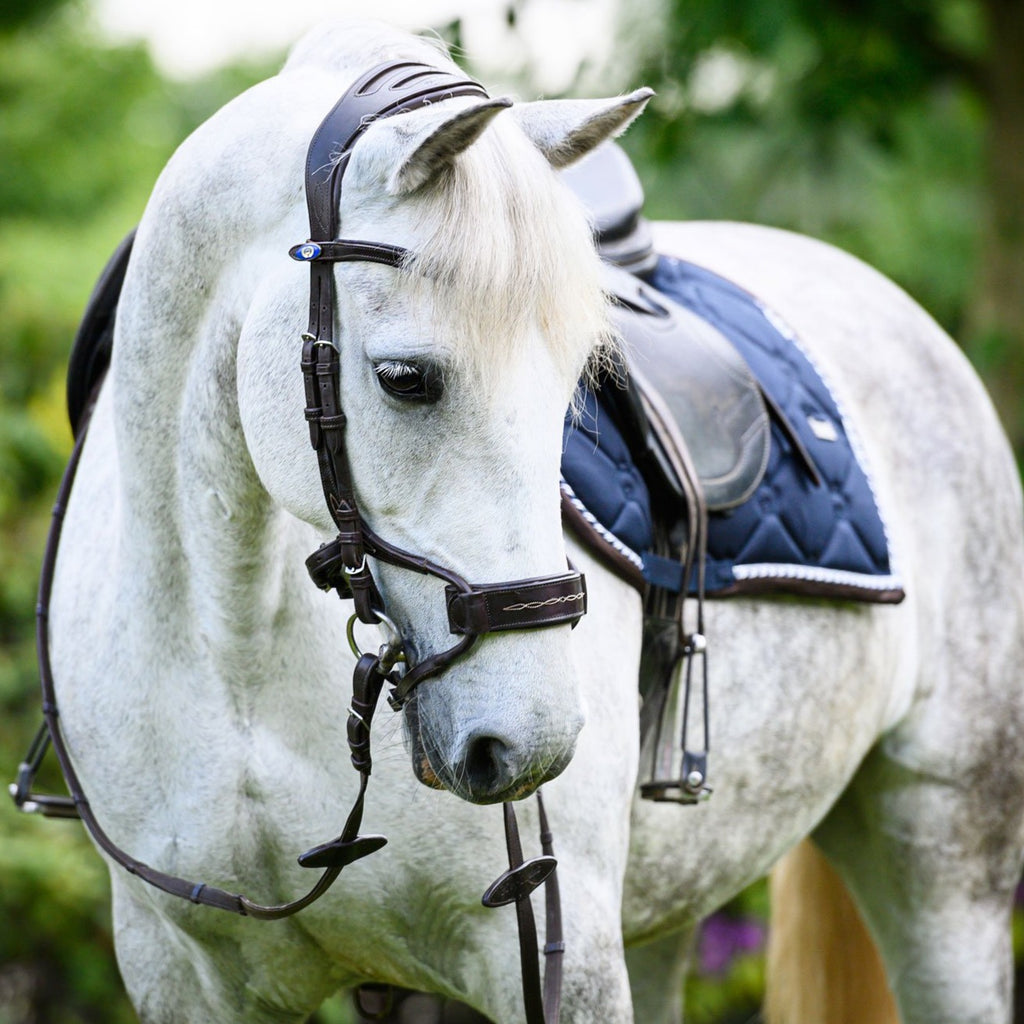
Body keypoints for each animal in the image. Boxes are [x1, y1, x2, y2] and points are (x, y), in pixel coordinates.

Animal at [46, 16, 1024, 1024]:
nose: (529, 742)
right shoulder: (177, 974)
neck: (231, 647)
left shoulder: (560, 957)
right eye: (406, 378)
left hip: (947, 862)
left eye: (579, 383)